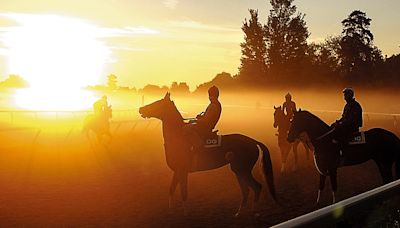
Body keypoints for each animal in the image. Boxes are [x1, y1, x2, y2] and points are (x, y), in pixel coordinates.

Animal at [138, 92, 276, 216]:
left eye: (157, 103)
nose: (140, 109)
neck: (178, 139)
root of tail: (253, 141)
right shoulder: (177, 171)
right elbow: (171, 189)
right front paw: (171, 211)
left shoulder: (182, 171)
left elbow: (183, 192)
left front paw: (186, 213)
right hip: (238, 170)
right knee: (246, 190)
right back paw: (239, 213)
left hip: (242, 170)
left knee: (256, 187)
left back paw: (252, 211)